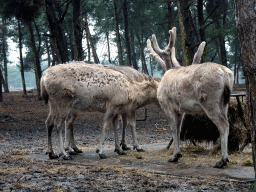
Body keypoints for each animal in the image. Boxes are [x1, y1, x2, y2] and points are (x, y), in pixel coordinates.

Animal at [147, 27, 235, 167]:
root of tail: (226, 74)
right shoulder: (180, 111)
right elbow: (178, 130)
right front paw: (178, 154)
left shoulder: (168, 106)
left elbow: (173, 129)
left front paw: (174, 156)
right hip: (224, 103)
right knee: (227, 122)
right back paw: (225, 158)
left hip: (210, 101)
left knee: (224, 125)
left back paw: (222, 160)